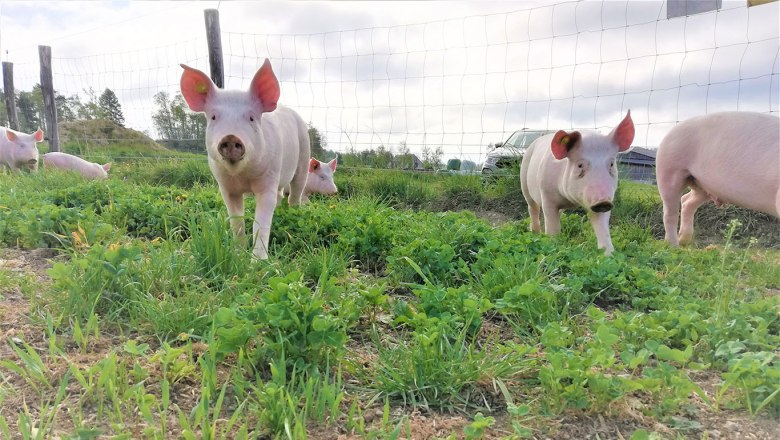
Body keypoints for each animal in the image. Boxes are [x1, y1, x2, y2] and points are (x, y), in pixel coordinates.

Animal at [180, 59, 310, 259]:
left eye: (251, 118)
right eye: (214, 117)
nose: (230, 137)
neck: (242, 176)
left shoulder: (268, 179)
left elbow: (261, 223)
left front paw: (258, 262)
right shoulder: (226, 187)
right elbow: (236, 220)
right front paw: (238, 254)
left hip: (304, 156)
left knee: (296, 192)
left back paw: (294, 215)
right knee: (281, 195)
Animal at [519, 111, 635, 255]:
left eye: (611, 164)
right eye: (580, 165)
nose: (603, 202)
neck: (571, 201)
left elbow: (602, 226)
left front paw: (609, 254)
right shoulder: (546, 195)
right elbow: (551, 224)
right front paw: (553, 244)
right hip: (524, 182)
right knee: (532, 208)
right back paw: (535, 232)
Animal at [656, 111, 780, 246]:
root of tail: (674, 128)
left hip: (703, 185)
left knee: (686, 201)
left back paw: (685, 241)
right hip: (669, 168)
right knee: (670, 212)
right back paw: (673, 246)